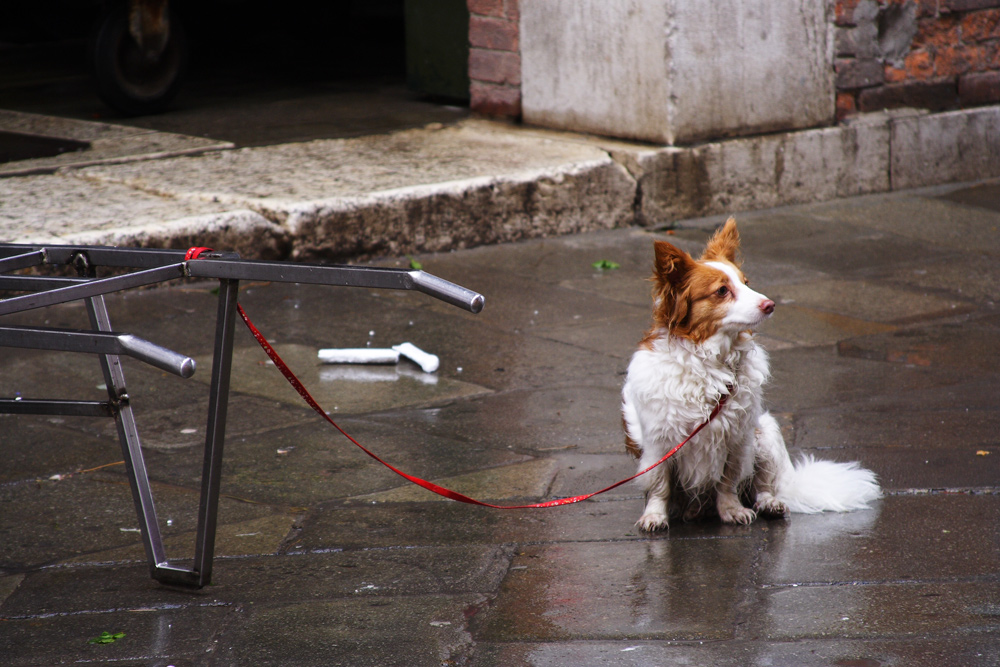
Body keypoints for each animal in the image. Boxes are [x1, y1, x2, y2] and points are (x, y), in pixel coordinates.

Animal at [620, 219, 880, 532]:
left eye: (746, 283)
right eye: (722, 291)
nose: (770, 305)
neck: (712, 361)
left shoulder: (737, 439)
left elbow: (728, 481)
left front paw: (731, 510)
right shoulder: (659, 444)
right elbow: (660, 486)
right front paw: (655, 515)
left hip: (765, 433)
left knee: (765, 486)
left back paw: (769, 504)